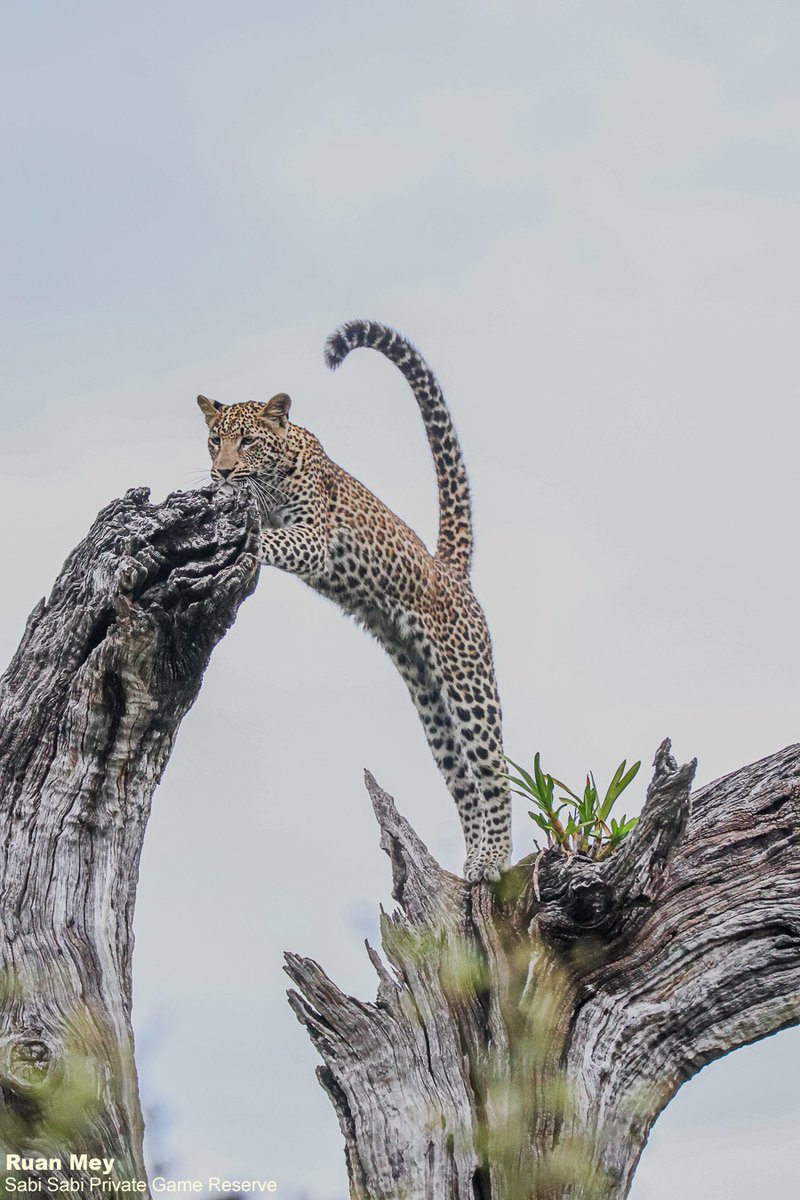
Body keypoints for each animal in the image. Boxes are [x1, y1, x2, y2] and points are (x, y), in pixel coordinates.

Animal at [197, 319, 510, 882]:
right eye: (215, 441)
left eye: (247, 441)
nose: (223, 471)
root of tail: (448, 569)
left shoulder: (314, 539)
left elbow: (271, 537)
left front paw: (245, 532)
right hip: (429, 699)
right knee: (464, 783)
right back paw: (472, 861)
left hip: (468, 679)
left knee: (494, 773)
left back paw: (495, 860)